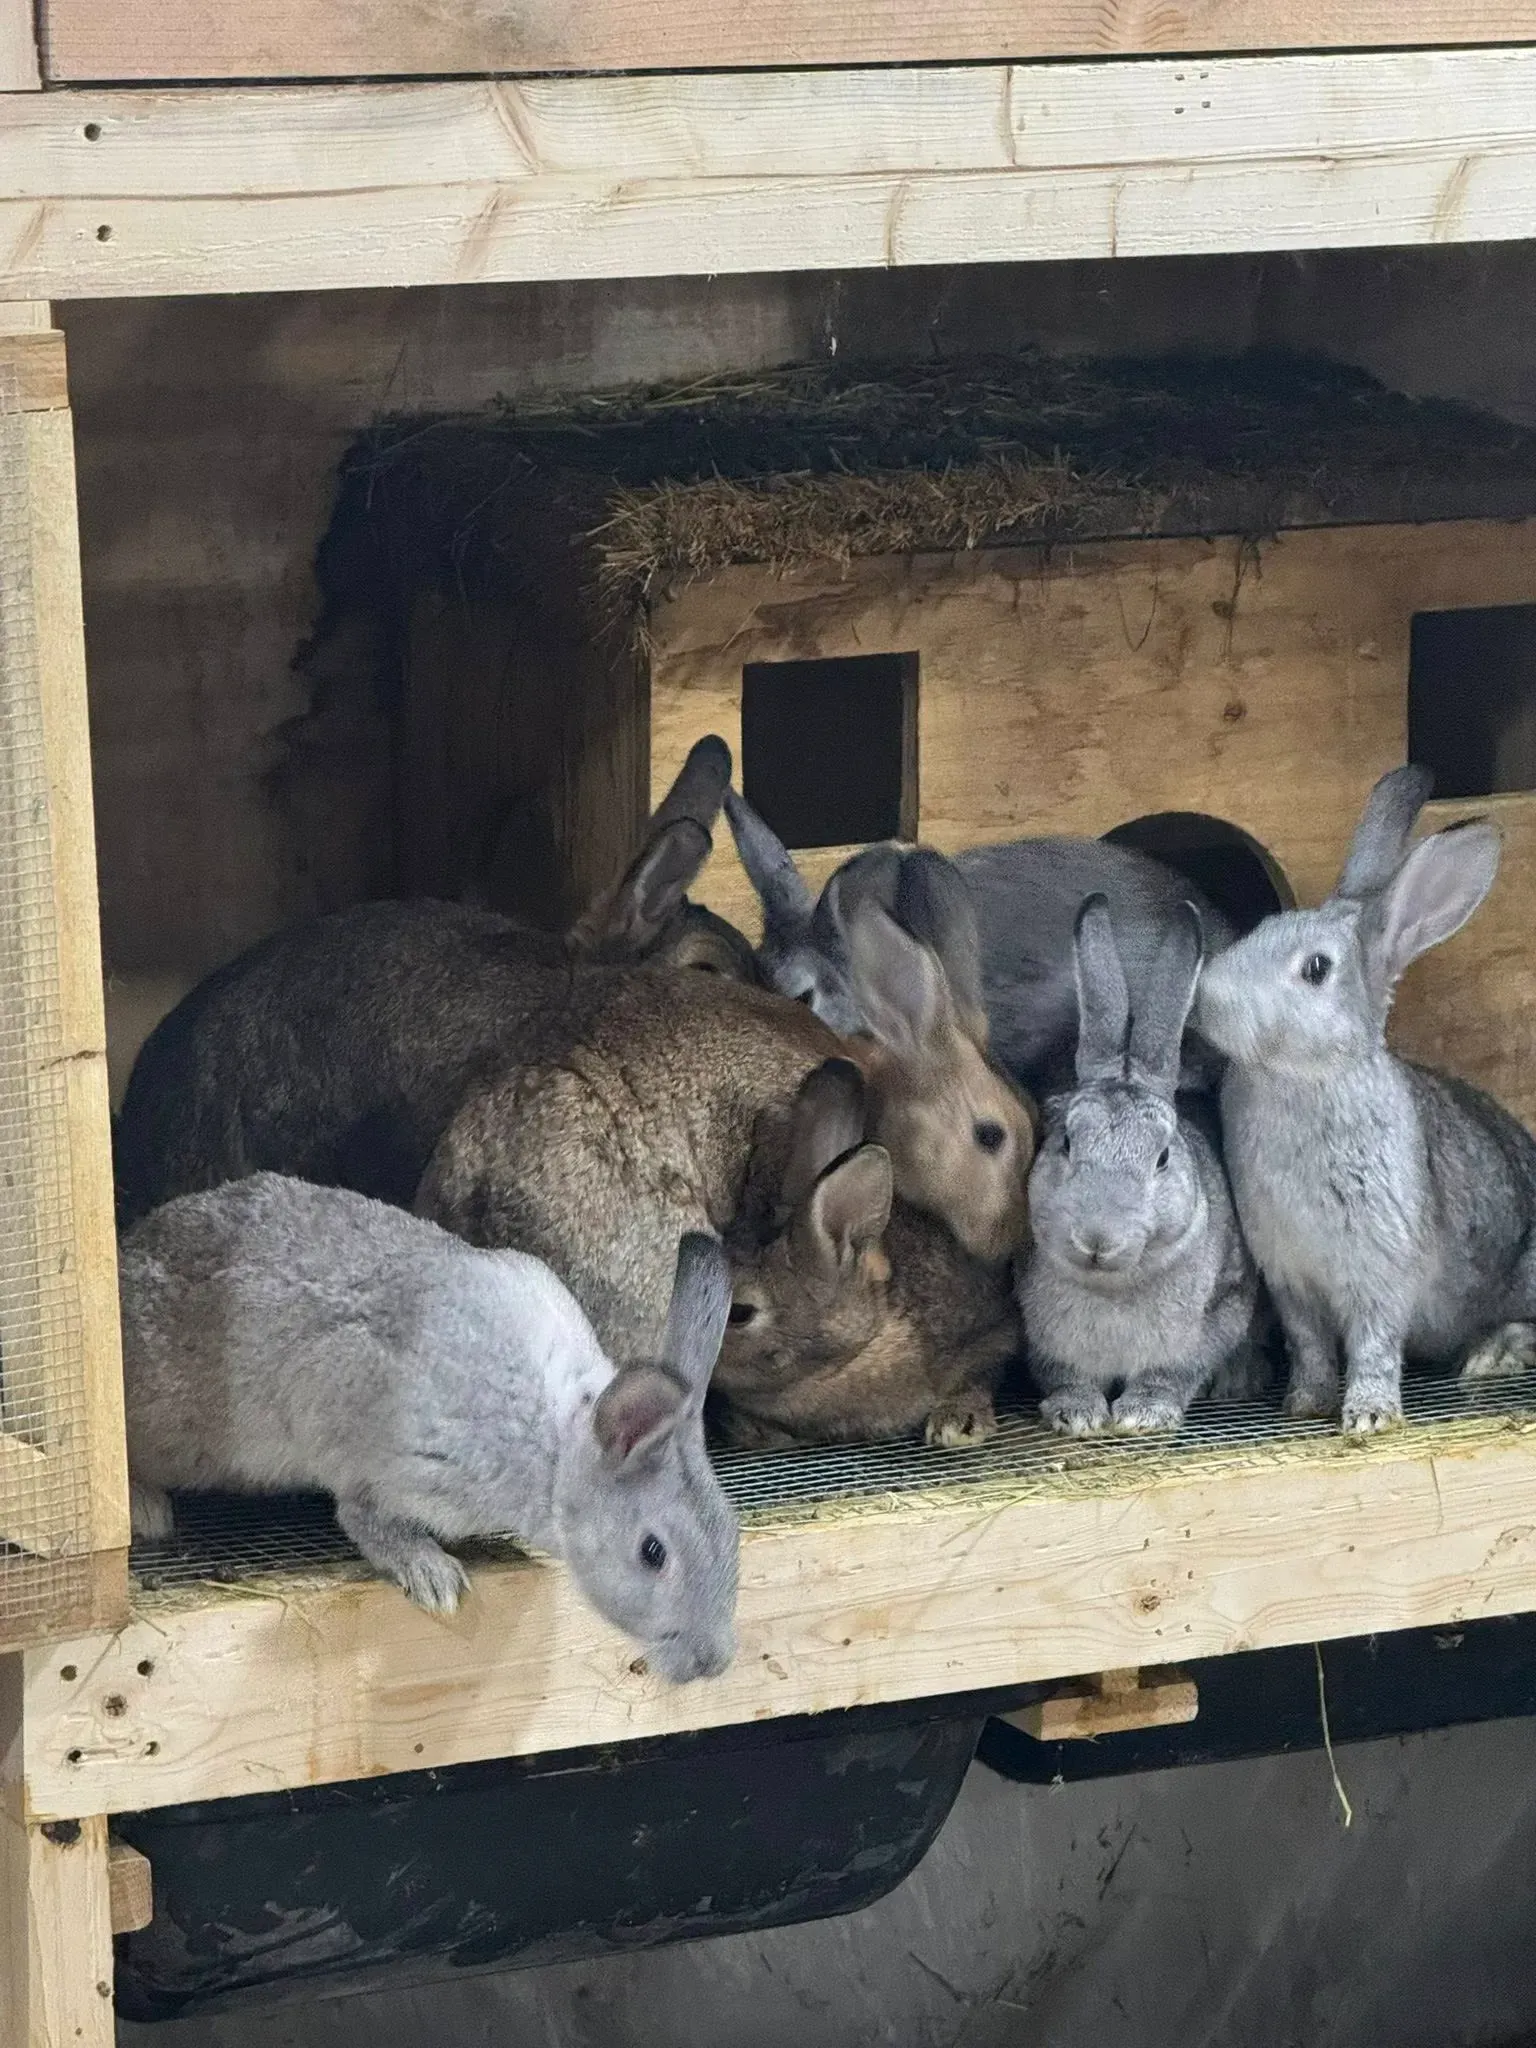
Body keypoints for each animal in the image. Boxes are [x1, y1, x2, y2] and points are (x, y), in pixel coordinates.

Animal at [120, 1173, 739, 1683]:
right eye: (653, 1553)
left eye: (732, 1531)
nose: (713, 1662)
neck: (556, 1451)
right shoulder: (381, 1462)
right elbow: (364, 1518)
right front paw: (435, 1579)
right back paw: (145, 1509)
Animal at [1019, 894, 1265, 1436]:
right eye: (1066, 1141)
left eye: (1163, 1157)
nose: (1096, 1240)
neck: (1113, 1286)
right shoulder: (1039, 1336)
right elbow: (1062, 1374)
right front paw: (1078, 1414)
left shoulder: (1221, 1310)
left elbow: (1176, 1371)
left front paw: (1142, 1415)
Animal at [1196, 763, 1536, 1434]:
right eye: (1261, 929)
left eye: (1316, 969)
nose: (1207, 999)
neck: (1301, 1078)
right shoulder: (1291, 1278)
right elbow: (1308, 1344)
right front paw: (1305, 1401)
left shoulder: (1379, 1270)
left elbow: (1373, 1344)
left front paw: (1369, 1418)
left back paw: (1493, 1354)